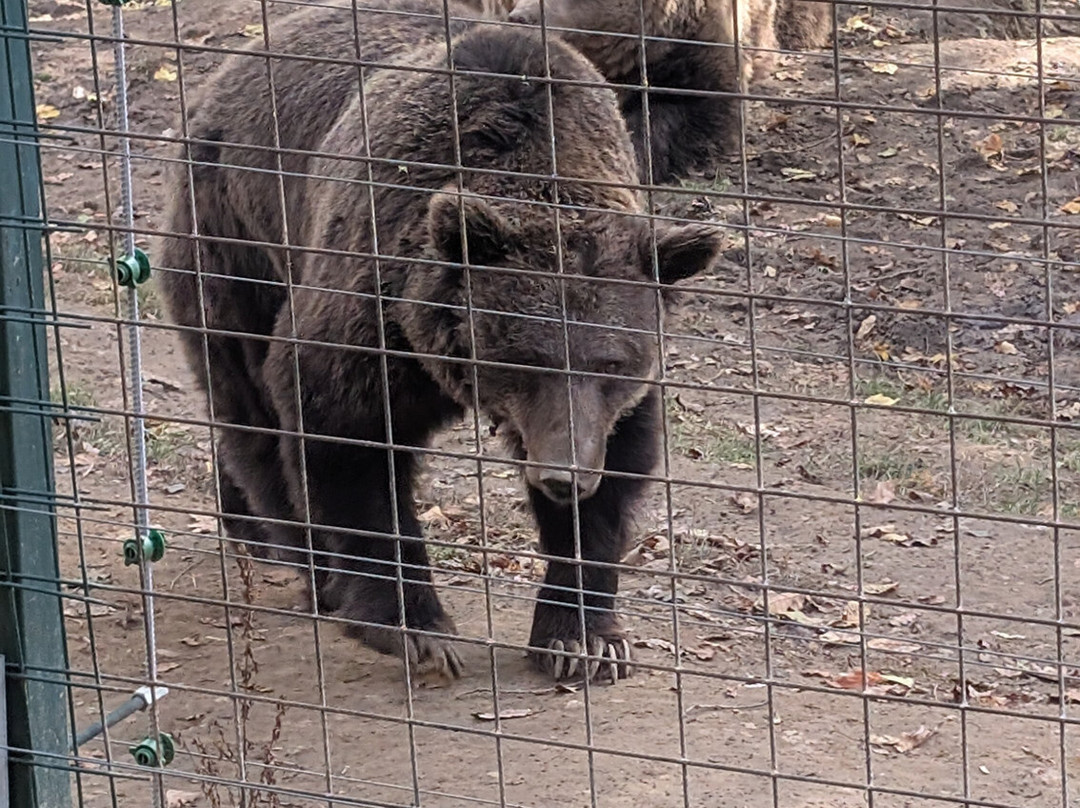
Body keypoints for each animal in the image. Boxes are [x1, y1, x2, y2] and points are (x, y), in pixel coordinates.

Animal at [159, 0, 724, 682]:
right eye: (525, 357)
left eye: (612, 361)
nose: (562, 474)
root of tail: (232, 66)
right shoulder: (374, 303)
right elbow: (344, 430)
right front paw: (416, 627)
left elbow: (618, 465)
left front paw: (582, 637)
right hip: (236, 238)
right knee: (253, 406)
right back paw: (308, 562)